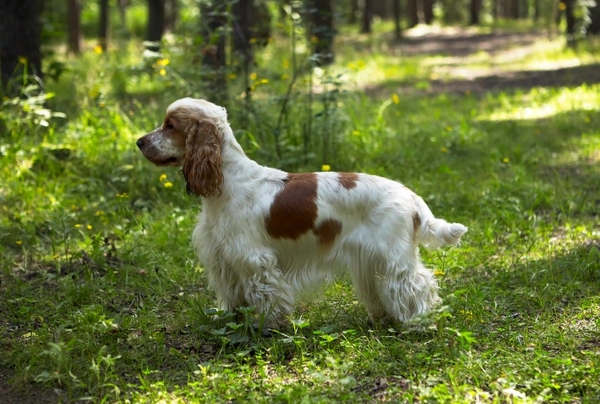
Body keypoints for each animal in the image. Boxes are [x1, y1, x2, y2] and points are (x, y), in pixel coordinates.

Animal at [137, 98, 468, 328]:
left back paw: (419, 322)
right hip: (372, 260)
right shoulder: (224, 259)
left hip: (394, 258)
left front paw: (267, 327)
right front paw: (231, 321)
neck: (227, 180)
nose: (139, 142)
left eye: (170, 125)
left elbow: (266, 297)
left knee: (418, 284)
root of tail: (411, 196)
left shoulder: (255, 259)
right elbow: (233, 297)